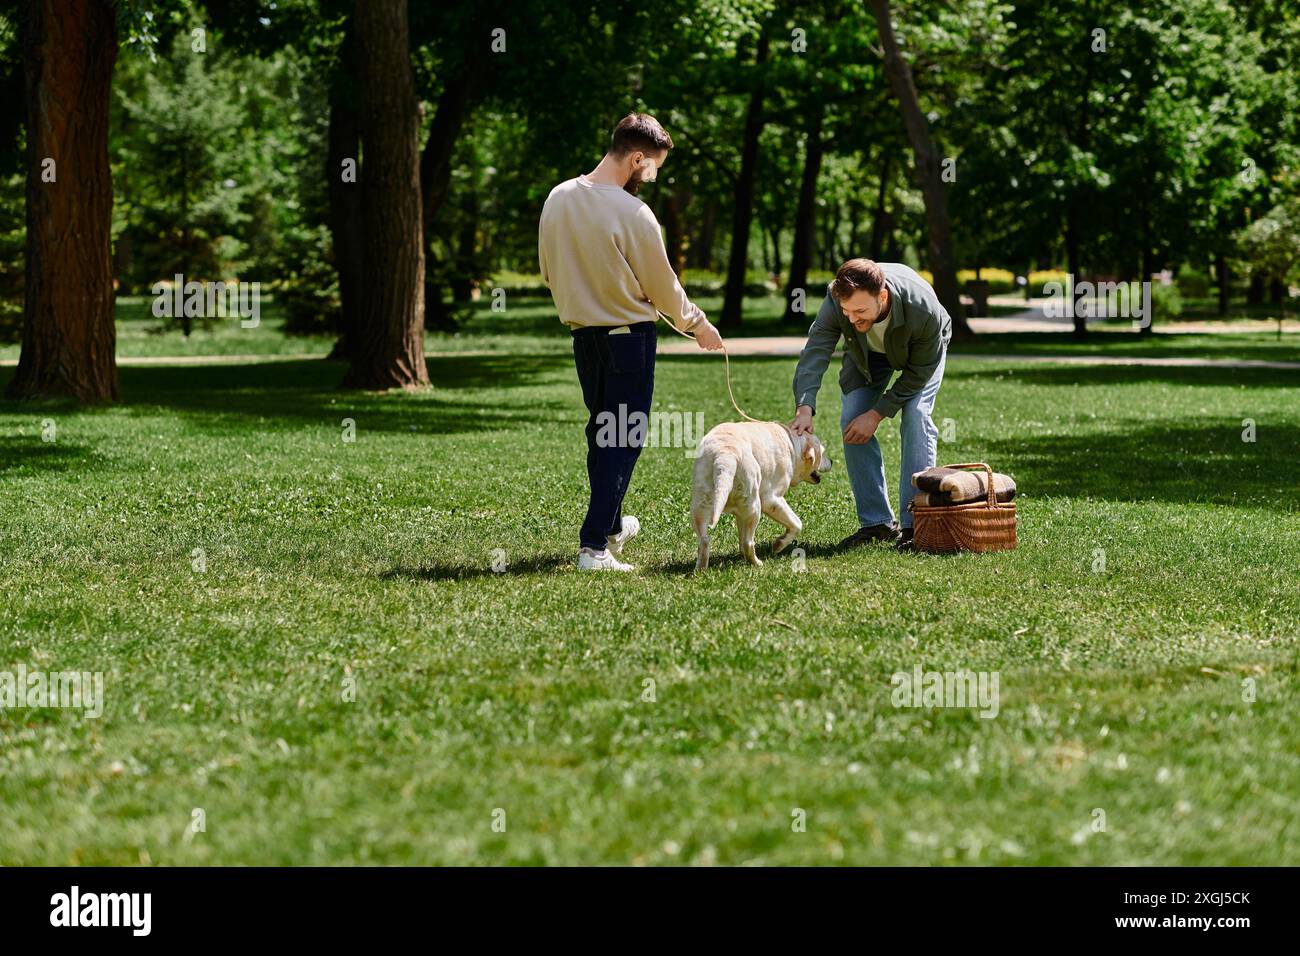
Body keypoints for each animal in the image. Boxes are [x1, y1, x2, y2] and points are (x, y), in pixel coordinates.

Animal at [691, 418, 832, 567]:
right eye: (823, 453)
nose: (832, 461)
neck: (793, 445)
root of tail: (725, 454)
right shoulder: (772, 499)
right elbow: (797, 523)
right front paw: (779, 544)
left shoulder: (741, 513)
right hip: (755, 508)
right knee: (748, 542)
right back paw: (757, 563)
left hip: (700, 507)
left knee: (704, 540)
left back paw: (701, 569)